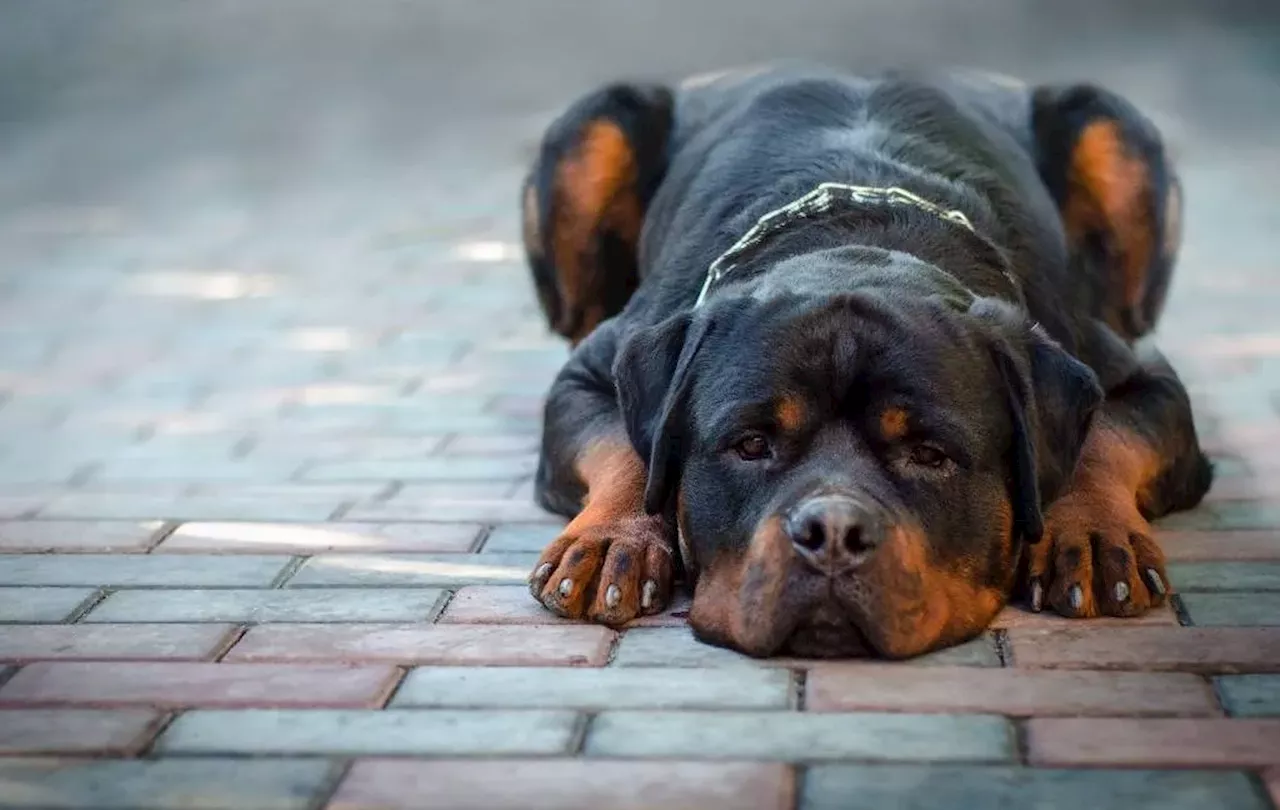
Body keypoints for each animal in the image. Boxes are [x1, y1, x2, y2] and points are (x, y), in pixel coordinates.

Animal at [517, 63, 1208, 655]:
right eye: (750, 444)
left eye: (930, 454)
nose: (833, 533)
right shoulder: (595, 368)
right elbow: (628, 445)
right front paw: (615, 537)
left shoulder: (1135, 374)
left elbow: (1105, 436)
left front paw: (1088, 531)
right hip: (593, 129)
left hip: (1110, 128)